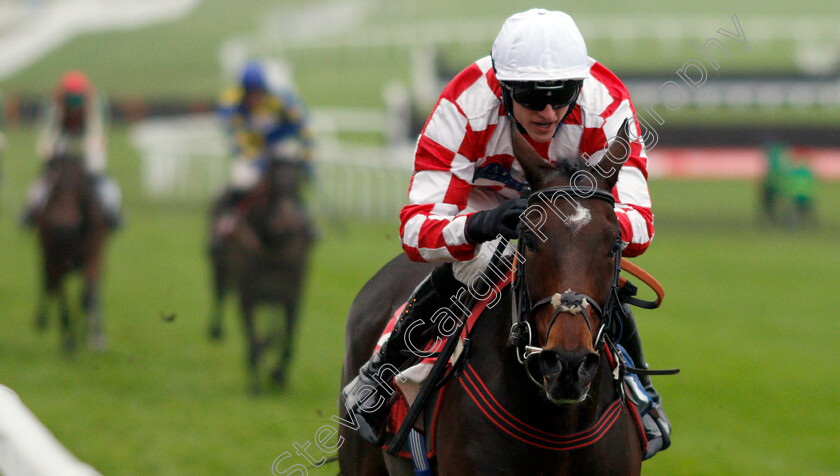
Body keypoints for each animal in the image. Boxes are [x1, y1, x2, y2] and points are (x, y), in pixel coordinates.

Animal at [35, 153, 110, 354]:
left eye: (78, 185)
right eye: (54, 185)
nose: (60, 224)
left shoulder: (93, 257)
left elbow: (87, 297)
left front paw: (90, 338)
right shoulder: (58, 260)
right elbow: (63, 299)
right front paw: (70, 343)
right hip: (47, 254)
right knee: (48, 281)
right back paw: (42, 320)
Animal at [208, 158, 316, 392]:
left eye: (297, 186)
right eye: (271, 188)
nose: (287, 222)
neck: (272, 248)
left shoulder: (291, 296)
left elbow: (285, 338)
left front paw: (278, 374)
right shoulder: (248, 297)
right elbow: (254, 341)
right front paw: (255, 385)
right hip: (218, 267)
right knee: (218, 293)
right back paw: (215, 330)